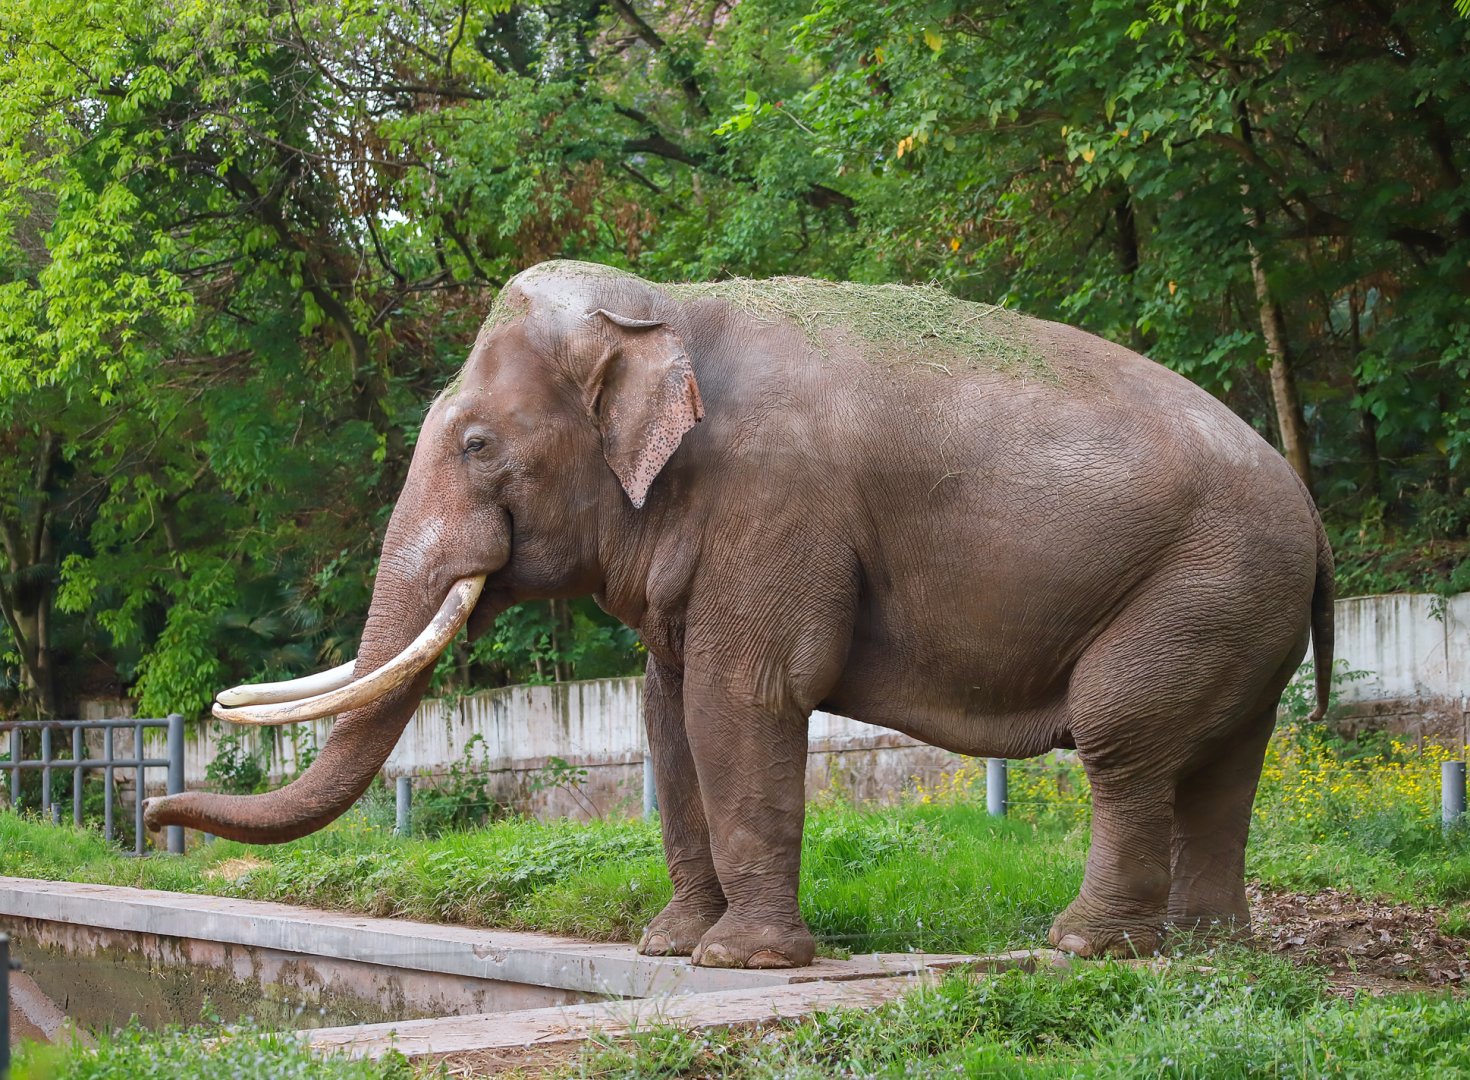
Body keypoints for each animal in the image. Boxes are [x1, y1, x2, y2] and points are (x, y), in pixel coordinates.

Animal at [147, 260, 1334, 968]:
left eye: (478, 444)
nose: (155, 818)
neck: (667, 303)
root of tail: (1314, 518)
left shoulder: (778, 502)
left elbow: (742, 696)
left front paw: (738, 961)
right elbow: (667, 713)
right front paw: (668, 949)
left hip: (1204, 582)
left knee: (1125, 740)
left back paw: (1085, 947)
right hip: (1241, 605)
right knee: (1223, 762)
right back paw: (1210, 946)